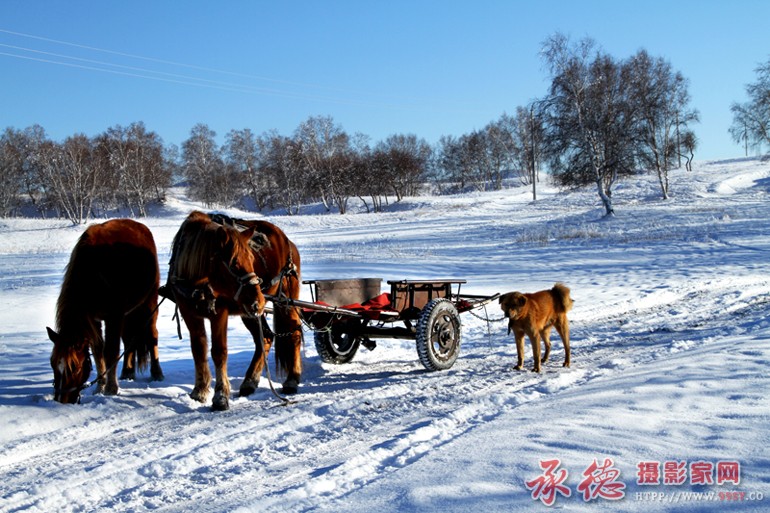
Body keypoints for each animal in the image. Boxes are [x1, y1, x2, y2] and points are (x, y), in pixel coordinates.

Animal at [48, 219, 163, 404]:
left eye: (75, 367)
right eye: (52, 364)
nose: (61, 400)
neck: (93, 273)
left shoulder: (113, 317)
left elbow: (111, 351)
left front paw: (111, 388)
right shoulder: (94, 318)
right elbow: (98, 350)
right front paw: (100, 386)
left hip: (149, 303)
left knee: (152, 334)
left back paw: (156, 373)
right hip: (128, 313)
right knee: (129, 339)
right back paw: (127, 372)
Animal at [166, 211, 302, 411]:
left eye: (252, 260)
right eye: (233, 263)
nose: (259, 300)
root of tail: (288, 242)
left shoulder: (219, 312)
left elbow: (219, 351)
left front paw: (220, 396)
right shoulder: (188, 311)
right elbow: (198, 349)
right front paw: (200, 390)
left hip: (283, 300)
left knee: (294, 332)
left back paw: (292, 379)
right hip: (249, 310)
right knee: (265, 337)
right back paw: (250, 381)